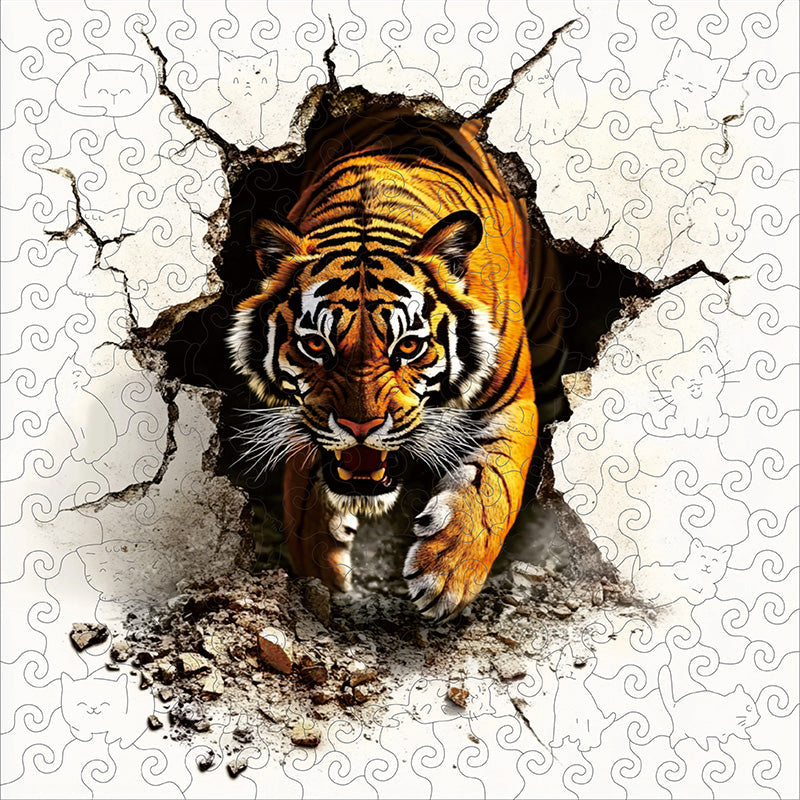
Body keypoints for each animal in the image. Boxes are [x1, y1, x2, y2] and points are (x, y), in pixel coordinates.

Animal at [228, 109, 562, 622]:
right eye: (316, 344)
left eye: (407, 347)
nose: (360, 427)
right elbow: (301, 496)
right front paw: (322, 577)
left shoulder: (513, 401)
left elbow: (494, 486)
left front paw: (447, 574)